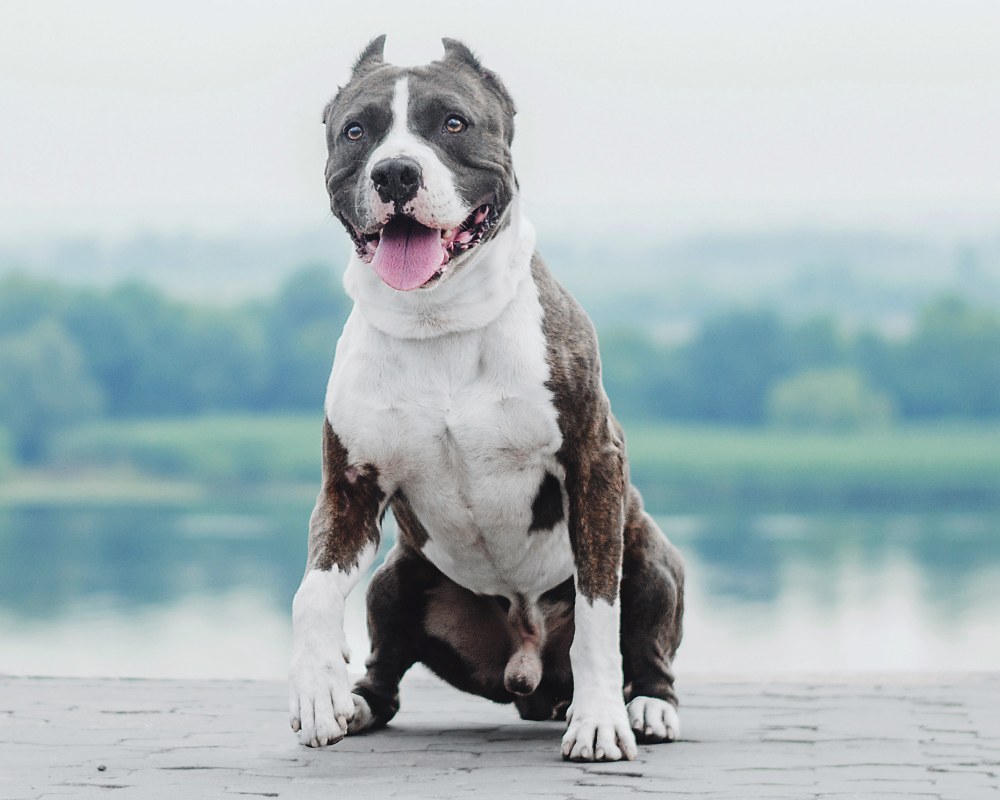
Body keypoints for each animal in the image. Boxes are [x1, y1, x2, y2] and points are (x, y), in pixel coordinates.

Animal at [286, 37, 684, 764]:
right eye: (357, 131)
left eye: (453, 123)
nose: (396, 174)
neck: (437, 319)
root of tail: (529, 676)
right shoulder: (348, 489)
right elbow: (312, 593)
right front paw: (317, 689)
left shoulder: (594, 464)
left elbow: (599, 614)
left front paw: (599, 721)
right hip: (396, 581)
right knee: (385, 673)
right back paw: (357, 703)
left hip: (647, 551)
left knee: (644, 642)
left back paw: (647, 706)